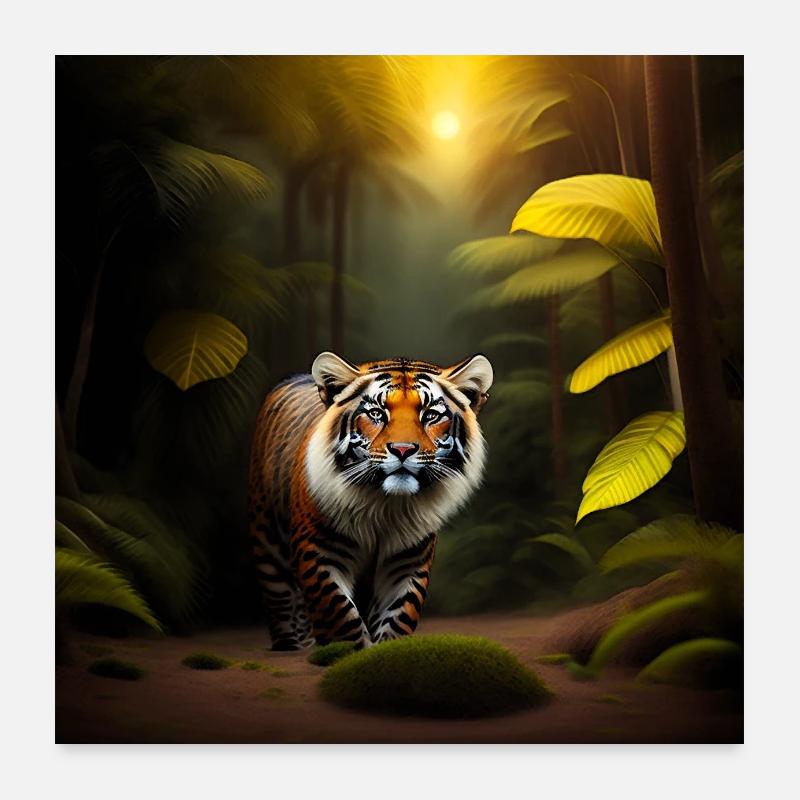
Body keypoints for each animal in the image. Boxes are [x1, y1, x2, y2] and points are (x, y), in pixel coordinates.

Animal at [248, 351, 493, 650]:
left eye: (431, 415)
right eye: (376, 413)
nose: (403, 449)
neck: (385, 506)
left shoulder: (407, 560)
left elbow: (399, 616)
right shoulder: (319, 550)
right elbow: (341, 615)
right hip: (267, 541)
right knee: (280, 598)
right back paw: (289, 644)